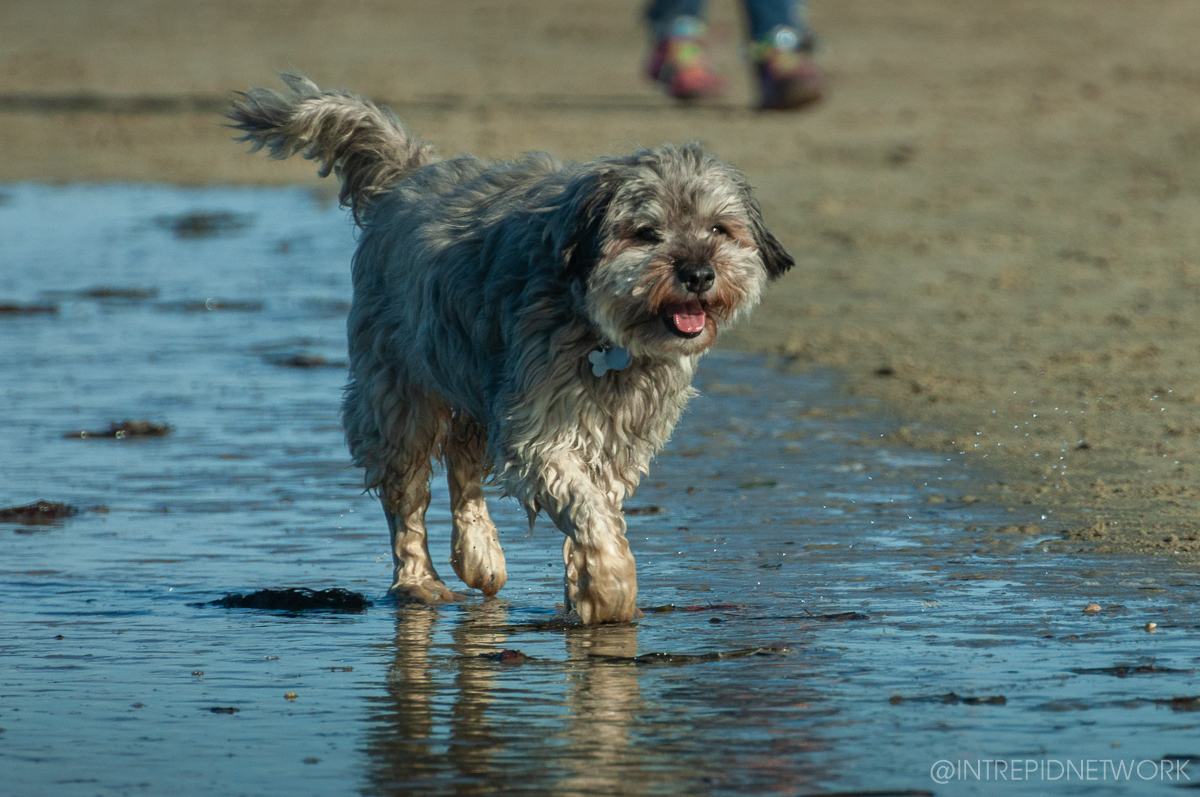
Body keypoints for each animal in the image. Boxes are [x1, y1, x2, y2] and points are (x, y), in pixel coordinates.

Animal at [229, 74, 792, 624]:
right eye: (646, 233)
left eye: (719, 228)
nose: (698, 273)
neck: (601, 330)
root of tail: (412, 173)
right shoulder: (537, 427)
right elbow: (591, 515)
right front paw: (609, 594)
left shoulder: (616, 440)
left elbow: (601, 510)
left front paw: (582, 589)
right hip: (397, 389)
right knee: (406, 495)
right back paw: (420, 583)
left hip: (476, 377)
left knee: (463, 458)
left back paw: (478, 555)